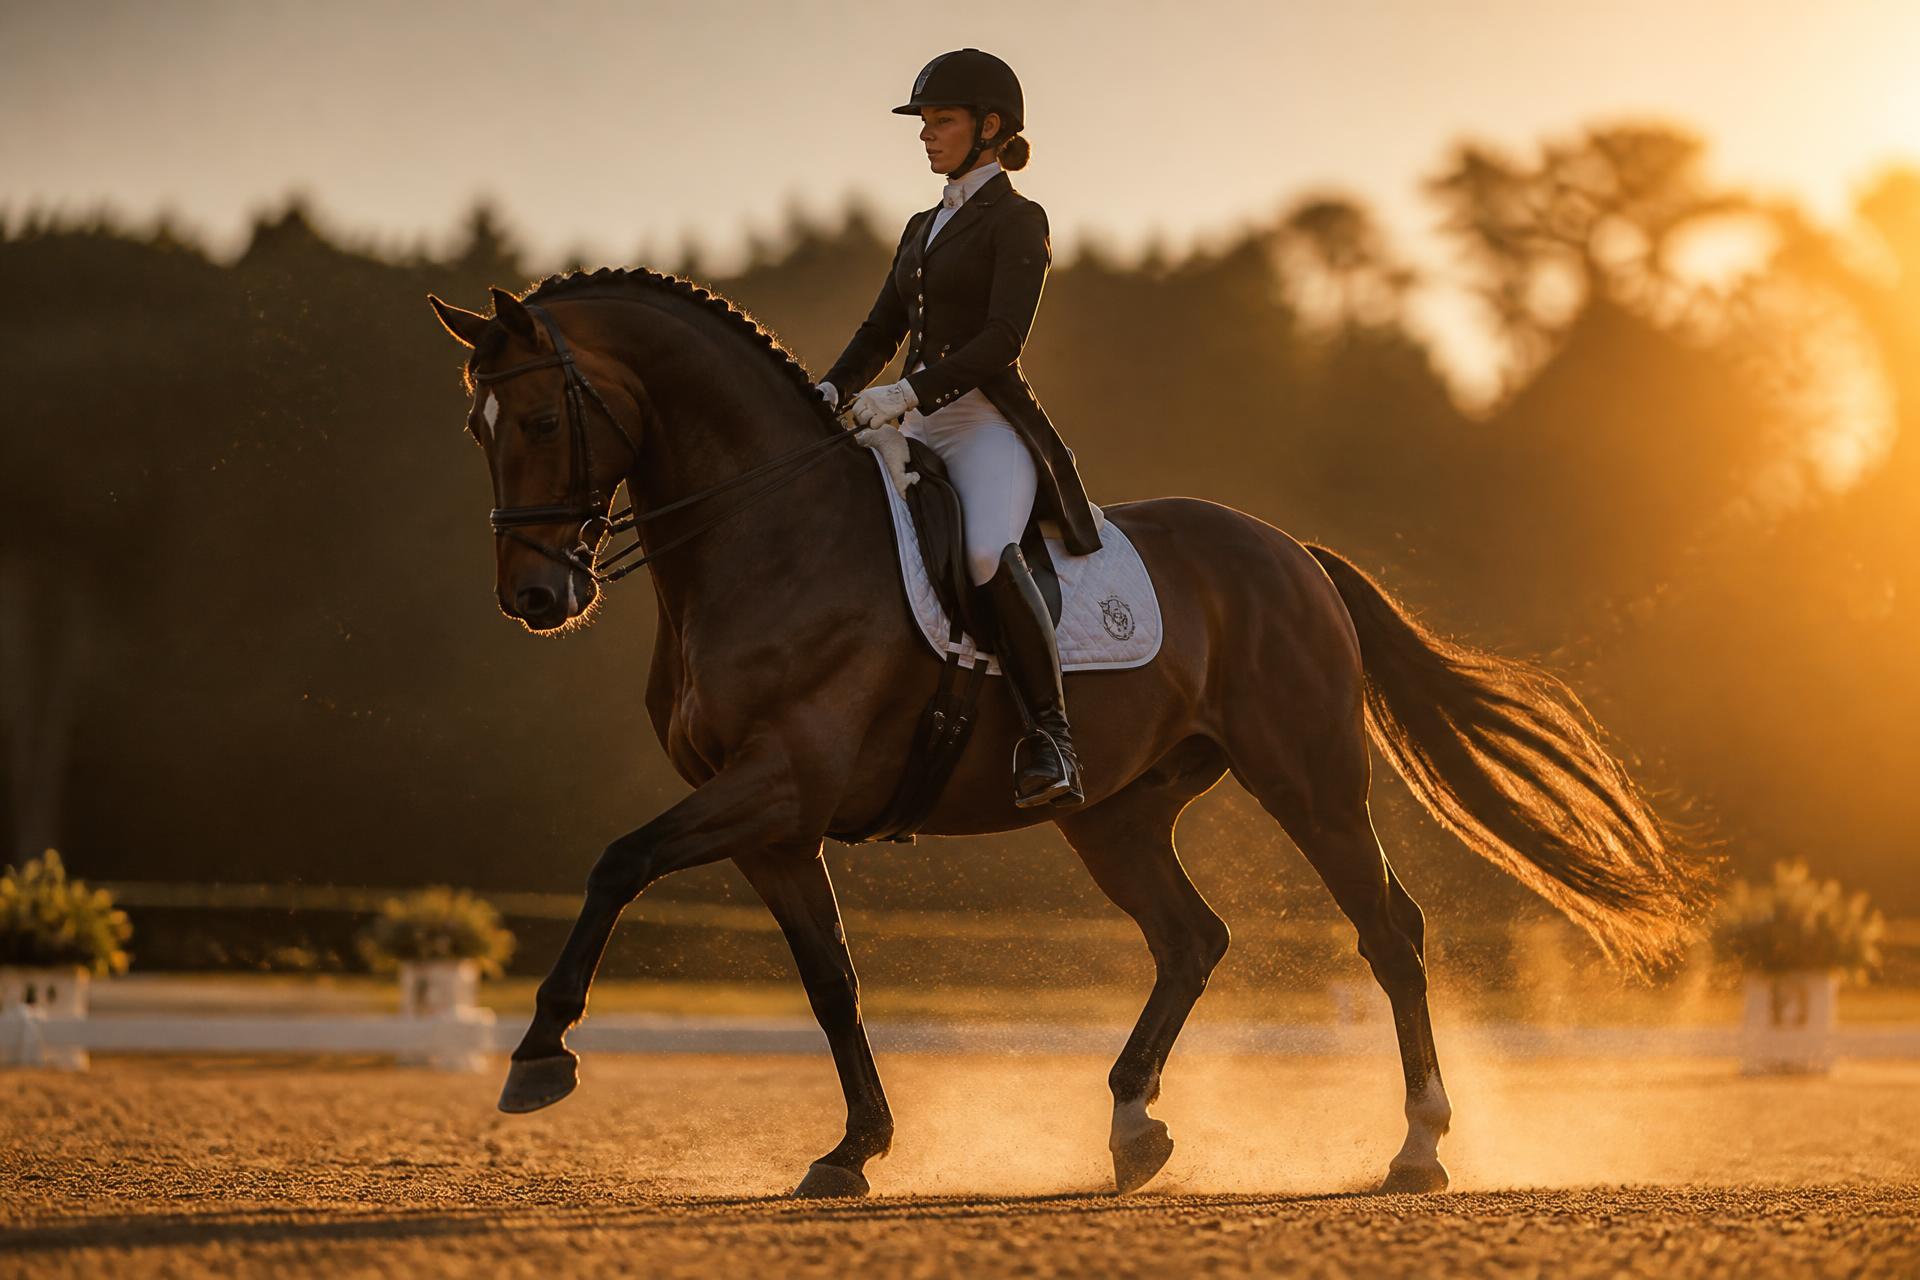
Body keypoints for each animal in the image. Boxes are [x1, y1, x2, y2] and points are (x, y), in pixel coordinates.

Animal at [426, 268, 1707, 1199]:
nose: (536, 596)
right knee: (1192, 937)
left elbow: (620, 860)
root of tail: (1289, 551)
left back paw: (1419, 1146)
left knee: (1387, 929)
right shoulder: (775, 826)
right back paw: (1135, 1125)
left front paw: (539, 1054)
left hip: (1308, 778)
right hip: (1115, 811)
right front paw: (854, 1148)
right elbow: (830, 976)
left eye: (537, 414)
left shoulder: (779, 782)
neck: (768, 535)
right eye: (475, 429)